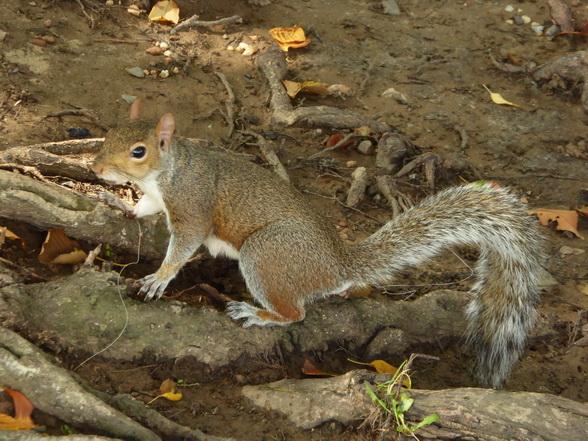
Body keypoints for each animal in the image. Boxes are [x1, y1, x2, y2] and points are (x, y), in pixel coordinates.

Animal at [93, 99, 548, 384]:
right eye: (109, 133)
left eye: (138, 151)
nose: (96, 168)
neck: (168, 171)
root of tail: (339, 262)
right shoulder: (157, 198)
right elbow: (144, 209)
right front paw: (115, 204)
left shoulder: (193, 206)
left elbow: (184, 245)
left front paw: (158, 278)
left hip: (267, 253)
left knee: (295, 314)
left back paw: (258, 313)